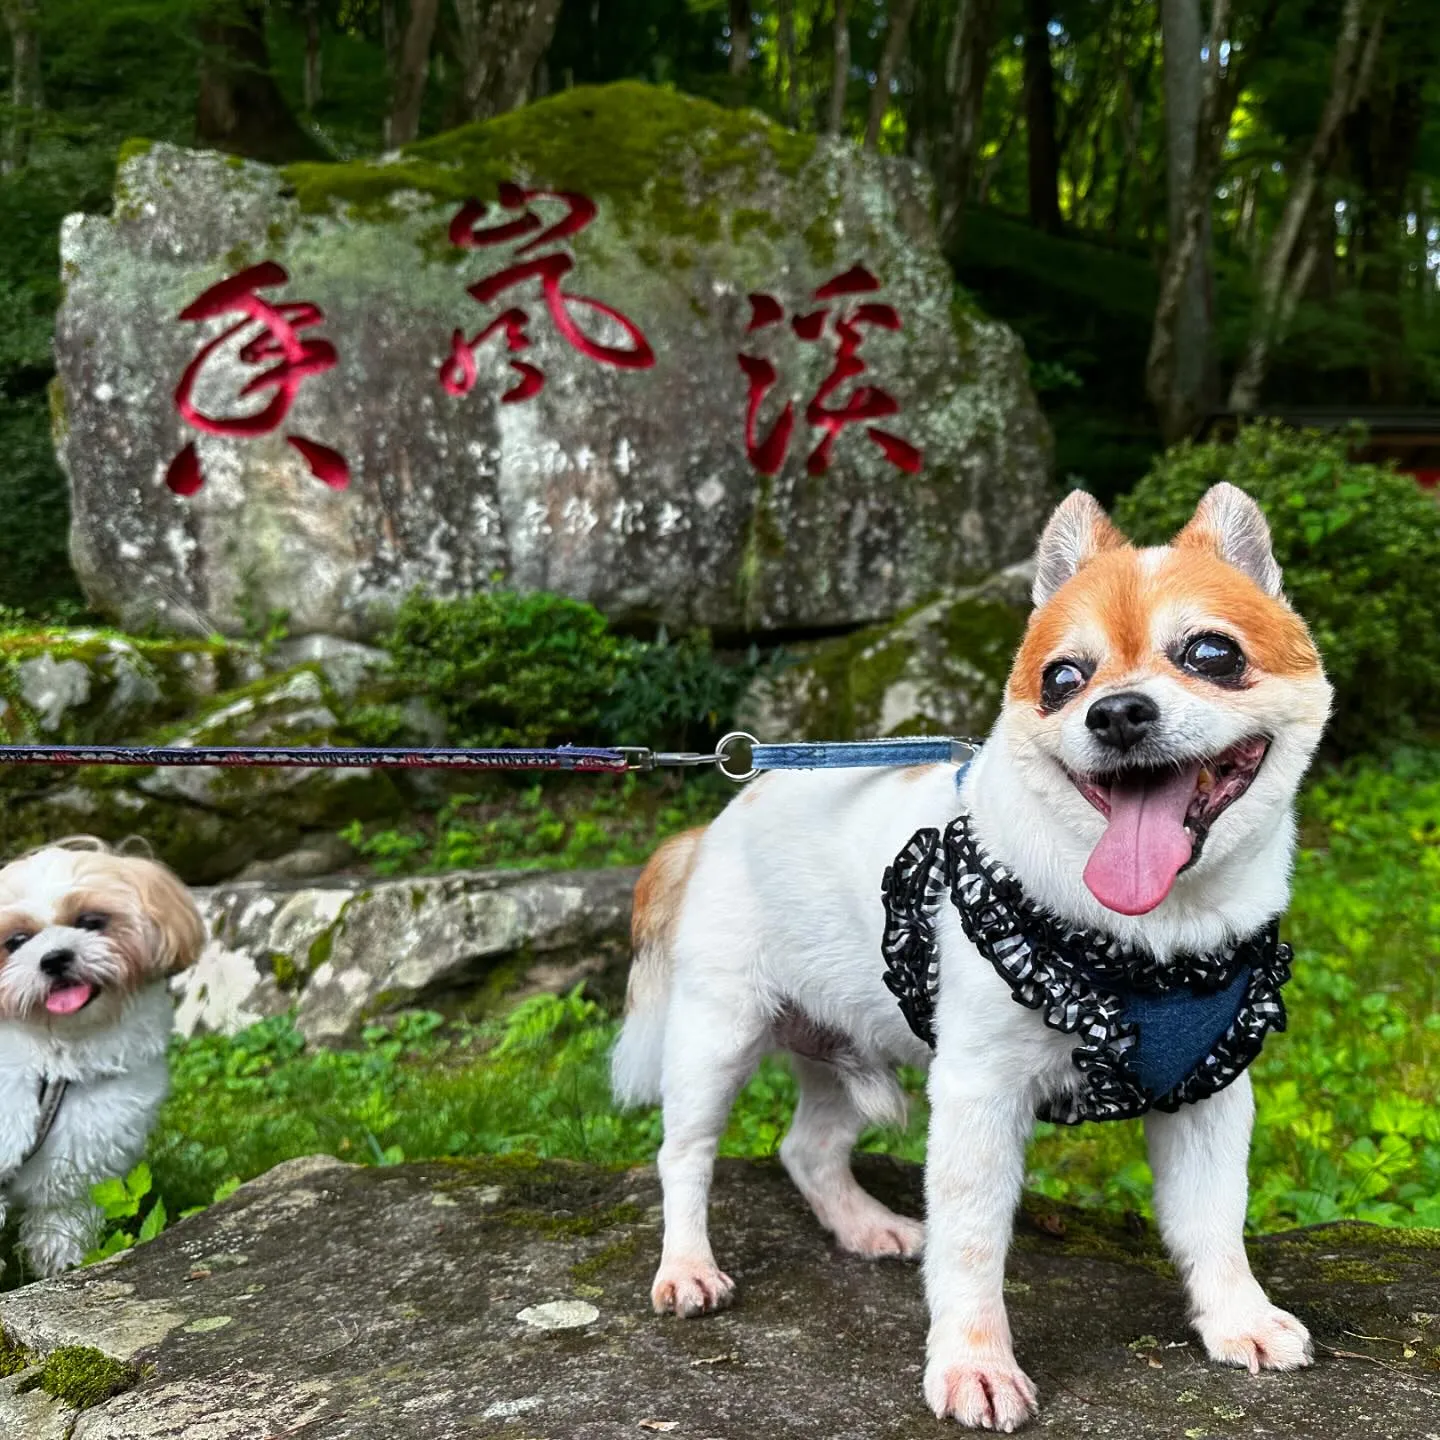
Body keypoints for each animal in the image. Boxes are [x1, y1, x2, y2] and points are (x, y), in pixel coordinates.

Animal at [0, 840, 203, 1278]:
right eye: (16, 941)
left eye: (92, 921)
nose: (55, 958)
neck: (55, 1062)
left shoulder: (74, 1165)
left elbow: (61, 1228)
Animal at [607, 483, 1324, 1428]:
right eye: (1063, 680)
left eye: (1212, 654)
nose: (1117, 711)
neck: (1156, 939)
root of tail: (715, 821)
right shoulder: (980, 1094)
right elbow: (974, 1243)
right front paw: (973, 1364)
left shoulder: (1207, 1091)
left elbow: (1213, 1218)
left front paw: (1237, 1317)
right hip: (715, 1038)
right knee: (684, 1156)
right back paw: (687, 1267)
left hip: (845, 1044)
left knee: (807, 1149)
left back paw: (865, 1225)